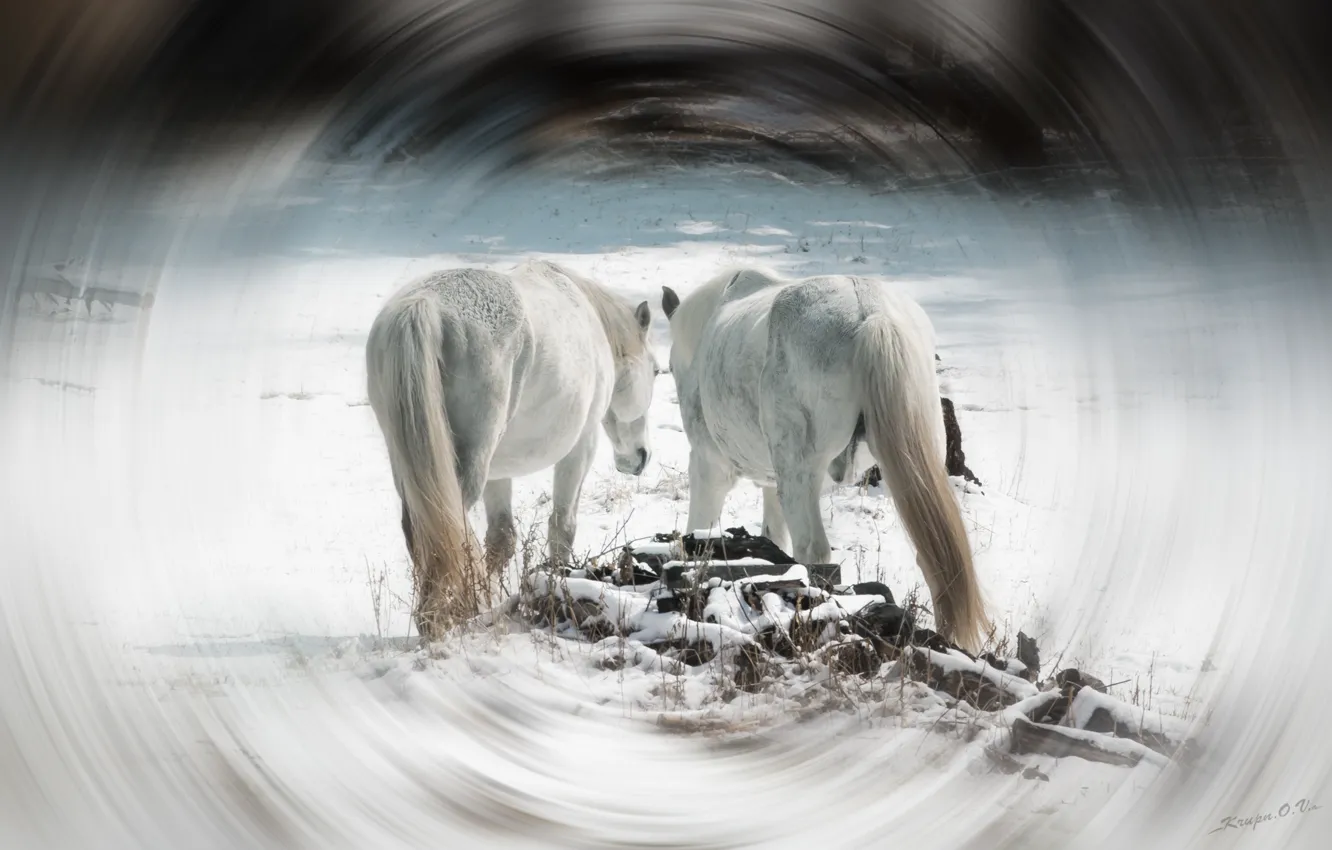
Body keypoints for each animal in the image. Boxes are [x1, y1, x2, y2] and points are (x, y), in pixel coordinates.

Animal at [366, 259, 659, 638]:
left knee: (420, 529)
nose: (640, 458)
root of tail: (423, 304)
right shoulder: (580, 449)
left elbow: (501, 539)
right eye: (657, 370)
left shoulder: (497, 471)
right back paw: (446, 617)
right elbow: (562, 527)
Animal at [660, 267, 991, 651]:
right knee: (932, 560)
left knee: (813, 551)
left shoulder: (710, 468)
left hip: (800, 472)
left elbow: (700, 530)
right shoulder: (773, 482)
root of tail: (872, 313)